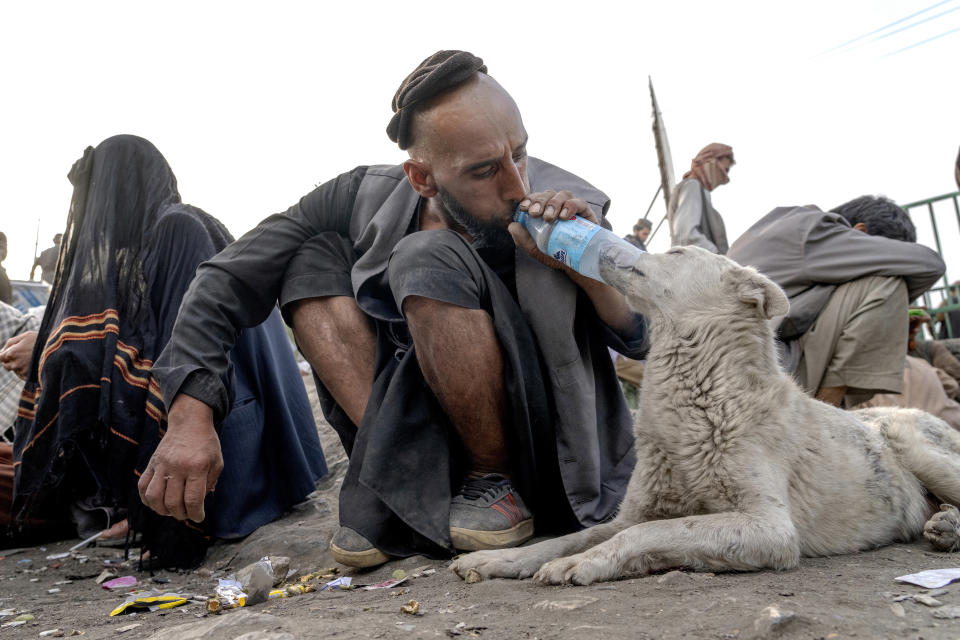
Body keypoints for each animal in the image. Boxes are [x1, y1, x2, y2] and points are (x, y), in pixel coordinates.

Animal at [454, 248, 960, 588]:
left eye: (677, 252)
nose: (609, 248)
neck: (702, 402)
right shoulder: (633, 510)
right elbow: (572, 536)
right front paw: (501, 562)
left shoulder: (769, 528)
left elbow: (654, 530)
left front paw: (585, 563)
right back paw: (945, 525)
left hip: (914, 444)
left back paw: (949, 528)